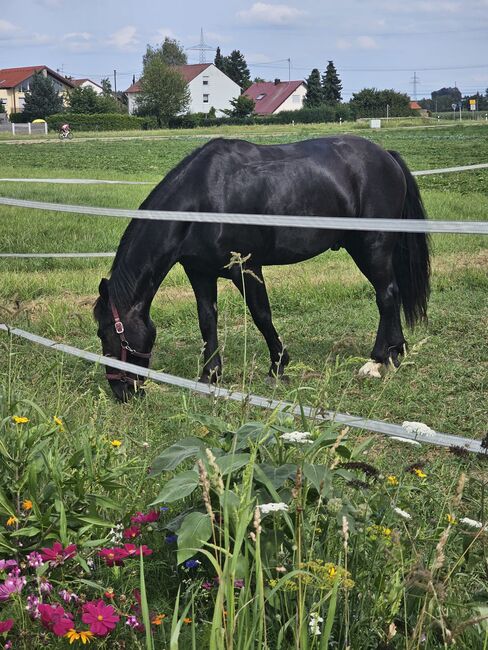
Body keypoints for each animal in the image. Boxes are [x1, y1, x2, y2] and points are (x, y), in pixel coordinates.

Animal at [93, 135, 428, 400]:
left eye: (105, 334)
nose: (122, 391)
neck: (205, 198)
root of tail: (387, 156)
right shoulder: (200, 272)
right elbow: (207, 320)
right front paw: (209, 375)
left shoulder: (247, 268)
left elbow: (261, 315)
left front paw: (278, 365)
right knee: (391, 295)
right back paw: (395, 352)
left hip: (372, 247)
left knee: (386, 295)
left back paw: (378, 360)